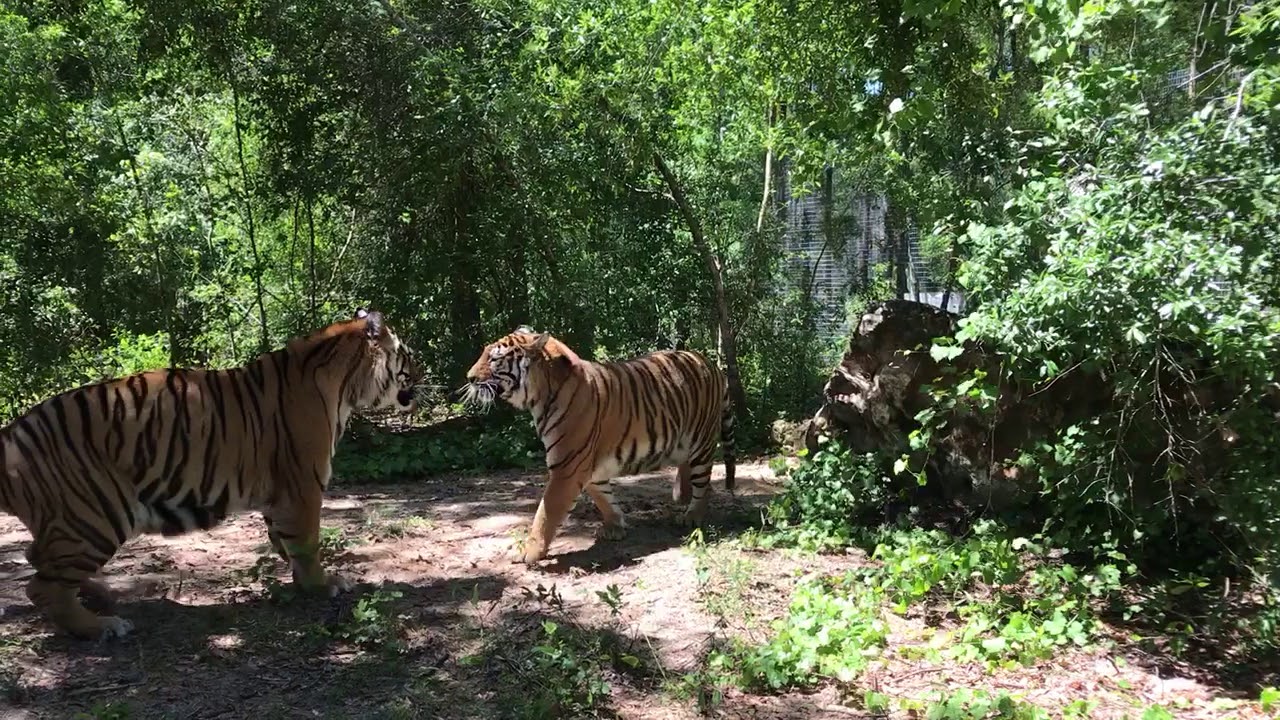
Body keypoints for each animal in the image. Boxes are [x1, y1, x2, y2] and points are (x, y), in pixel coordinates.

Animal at [0, 308, 423, 640]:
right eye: (408, 355)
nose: (423, 374)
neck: (345, 382)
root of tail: (10, 434)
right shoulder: (303, 484)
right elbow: (307, 543)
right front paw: (324, 585)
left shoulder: (280, 494)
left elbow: (285, 542)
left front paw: (301, 584)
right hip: (97, 514)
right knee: (42, 586)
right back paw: (101, 626)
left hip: (73, 520)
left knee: (38, 558)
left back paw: (100, 594)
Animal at [460, 326, 736, 564]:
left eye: (494, 359)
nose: (469, 378)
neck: (539, 396)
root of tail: (710, 363)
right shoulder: (588, 465)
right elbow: (603, 497)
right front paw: (615, 526)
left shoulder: (567, 467)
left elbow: (545, 514)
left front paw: (528, 552)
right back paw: (681, 495)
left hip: (701, 441)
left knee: (705, 484)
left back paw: (692, 515)